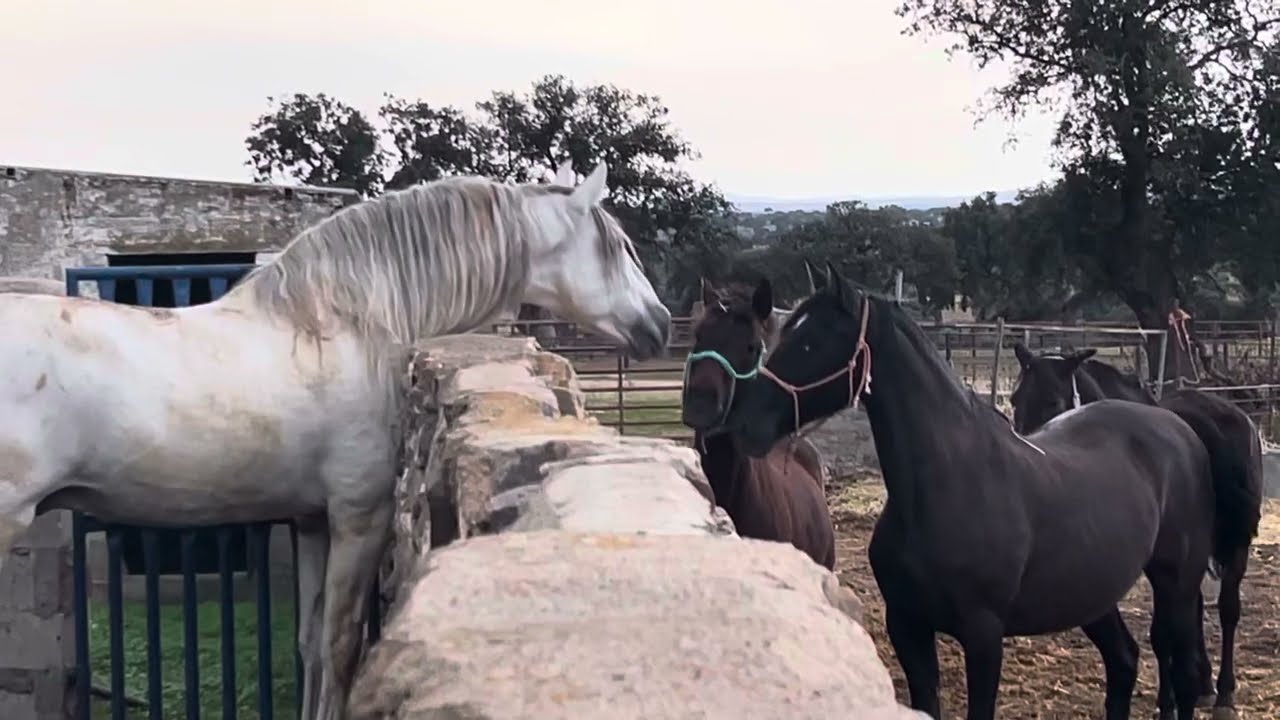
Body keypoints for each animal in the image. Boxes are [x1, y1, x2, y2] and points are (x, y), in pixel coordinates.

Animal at [0, 160, 672, 720]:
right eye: (618, 248)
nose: (660, 325)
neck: (349, 325)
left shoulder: (312, 522)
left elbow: (311, 643)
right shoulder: (359, 518)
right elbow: (342, 642)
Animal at [722, 259, 1236, 720]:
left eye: (811, 342)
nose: (742, 425)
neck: (944, 488)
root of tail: (1178, 427)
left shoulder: (984, 635)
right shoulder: (907, 626)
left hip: (1175, 582)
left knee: (1182, 672)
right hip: (1093, 593)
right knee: (1124, 663)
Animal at [1010, 343, 1262, 720]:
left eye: (1054, 401)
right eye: (1014, 400)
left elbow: (1167, 632)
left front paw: (1172, 701)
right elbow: (1163, 636)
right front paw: (1167, 701)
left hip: (1232, 548)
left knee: (1228, 609)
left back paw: (1224, 694)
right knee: (1192, 613)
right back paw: (1203, 684)